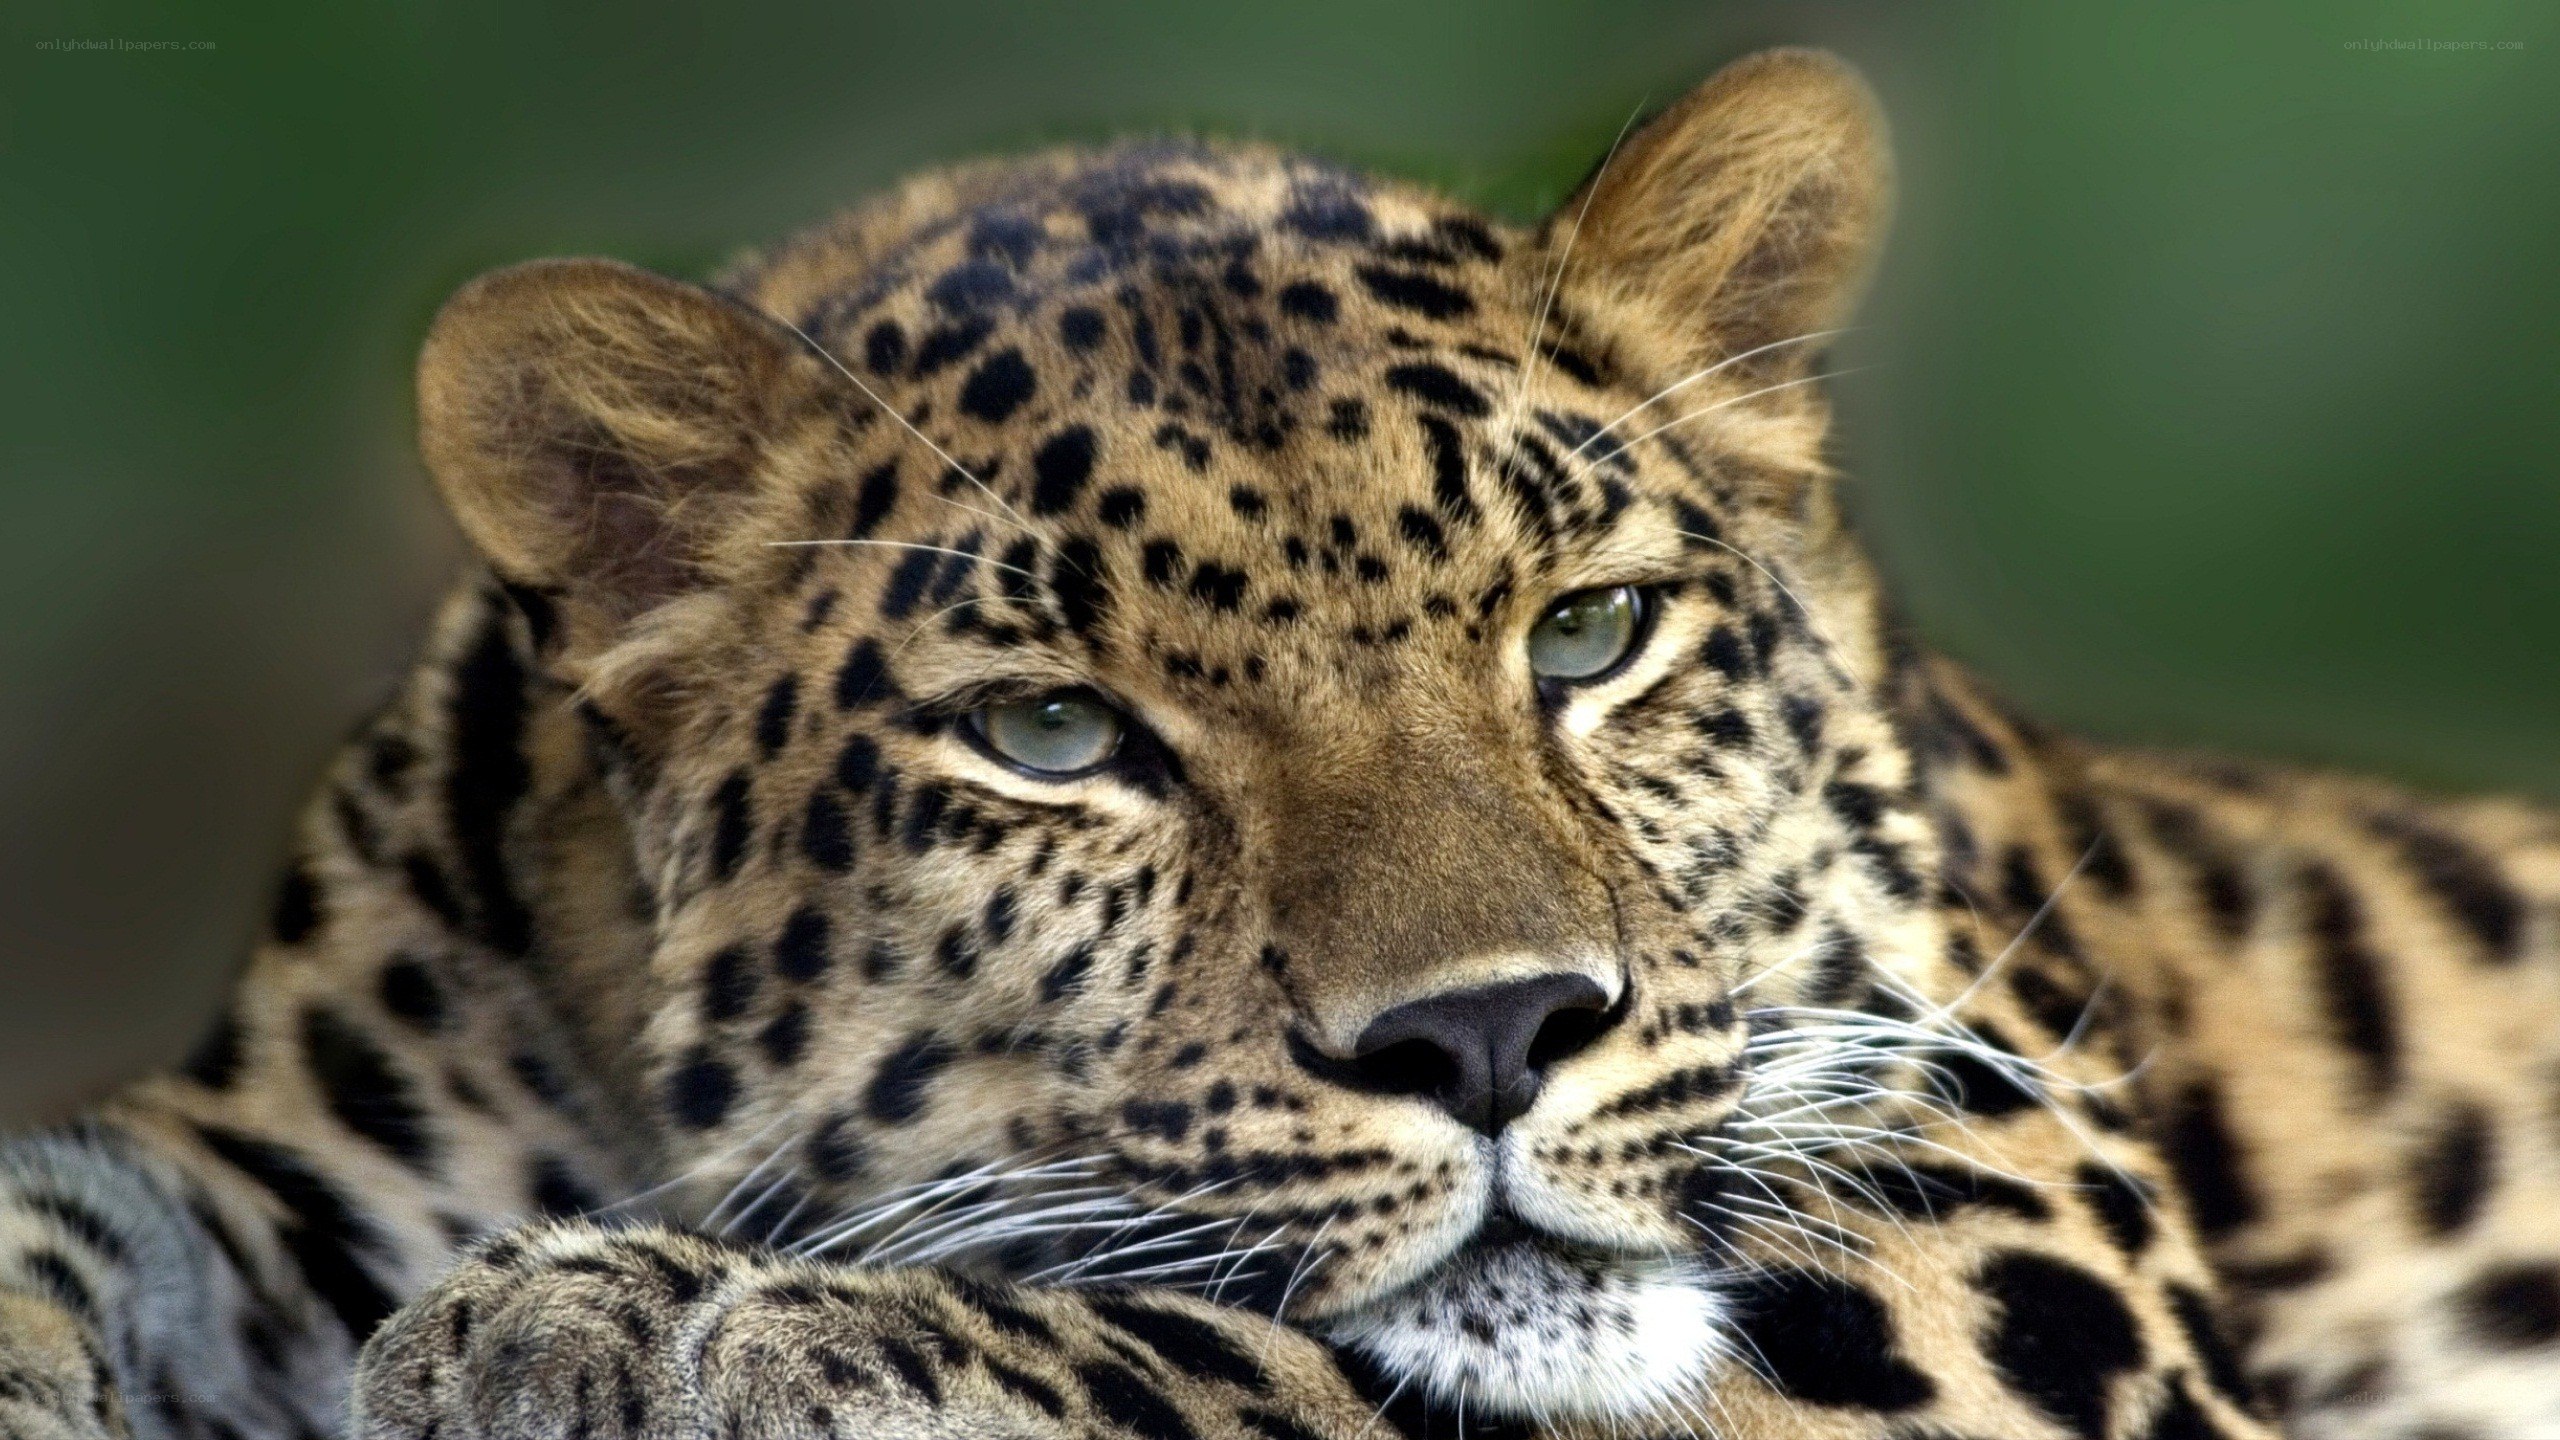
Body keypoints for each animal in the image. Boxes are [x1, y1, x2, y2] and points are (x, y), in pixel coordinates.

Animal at [5, 46, 2558, 1440]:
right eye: (1053, 733)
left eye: (1586, 630)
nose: (1489, 1034)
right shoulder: (280, 1142)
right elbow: (67, 1208)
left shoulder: (2005, 1229)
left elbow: (1336, 1367)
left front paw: (650, 1321)